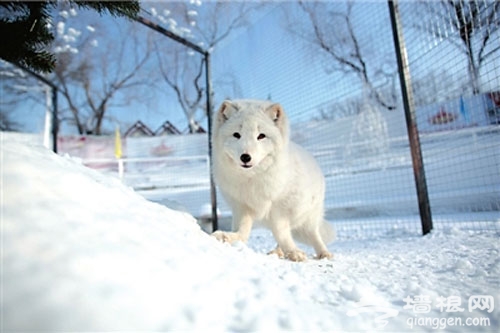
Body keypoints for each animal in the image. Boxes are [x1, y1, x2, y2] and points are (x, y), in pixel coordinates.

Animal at [210, 100, 332, 260]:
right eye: (236, 135)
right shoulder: (242, 206)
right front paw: (229, 237)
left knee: (313, 234)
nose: (245, 157)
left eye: (261, 136)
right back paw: (277, 252)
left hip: (308, 216)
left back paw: (323, 253)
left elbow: (281, 234)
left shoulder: (280, 209)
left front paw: (293, 251)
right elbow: (243, 231)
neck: (252, 178)